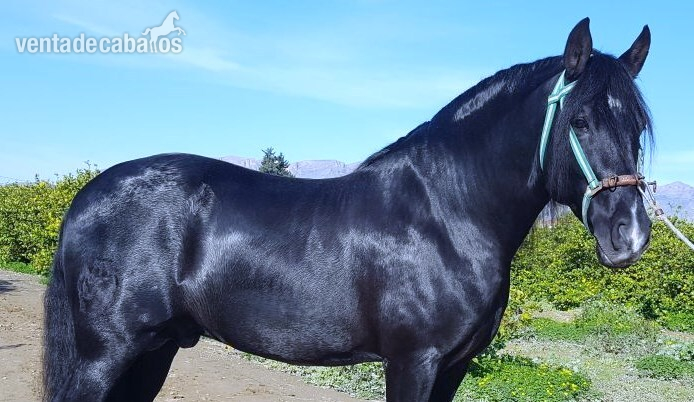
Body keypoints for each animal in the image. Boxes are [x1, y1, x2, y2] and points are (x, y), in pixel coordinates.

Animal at [44, 18, 653, 401]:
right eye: (580, 121)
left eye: (637, 126)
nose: (629, 235)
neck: (447, 215)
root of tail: (87, 197)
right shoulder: (413, 361)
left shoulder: (454, 367)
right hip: (107, 354)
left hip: (155, 350)